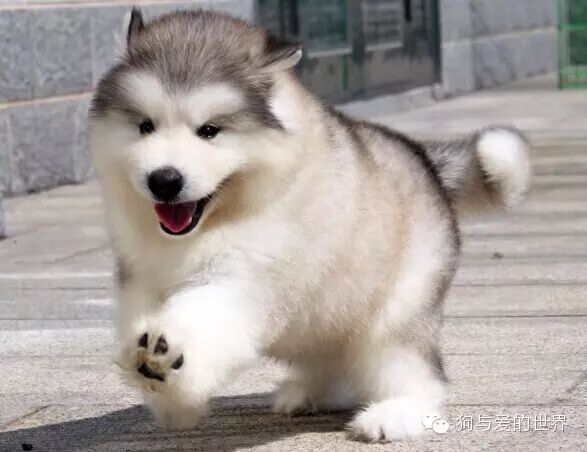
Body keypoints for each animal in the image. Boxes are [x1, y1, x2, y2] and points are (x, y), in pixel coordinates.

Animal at [89, 8, 531, 441]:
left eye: (209, 131)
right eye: (145, 126)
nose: (164, 180)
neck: (214, 224)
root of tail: (424, 158)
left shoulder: (245, 279)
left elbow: (203, 314)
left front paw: (165, 352)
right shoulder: (138, 276)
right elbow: (140, 316)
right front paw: (167, 395)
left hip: (395, 313)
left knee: (416, 372)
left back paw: (397, 414)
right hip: (328, 316)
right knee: (332, 357)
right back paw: (312, 394)